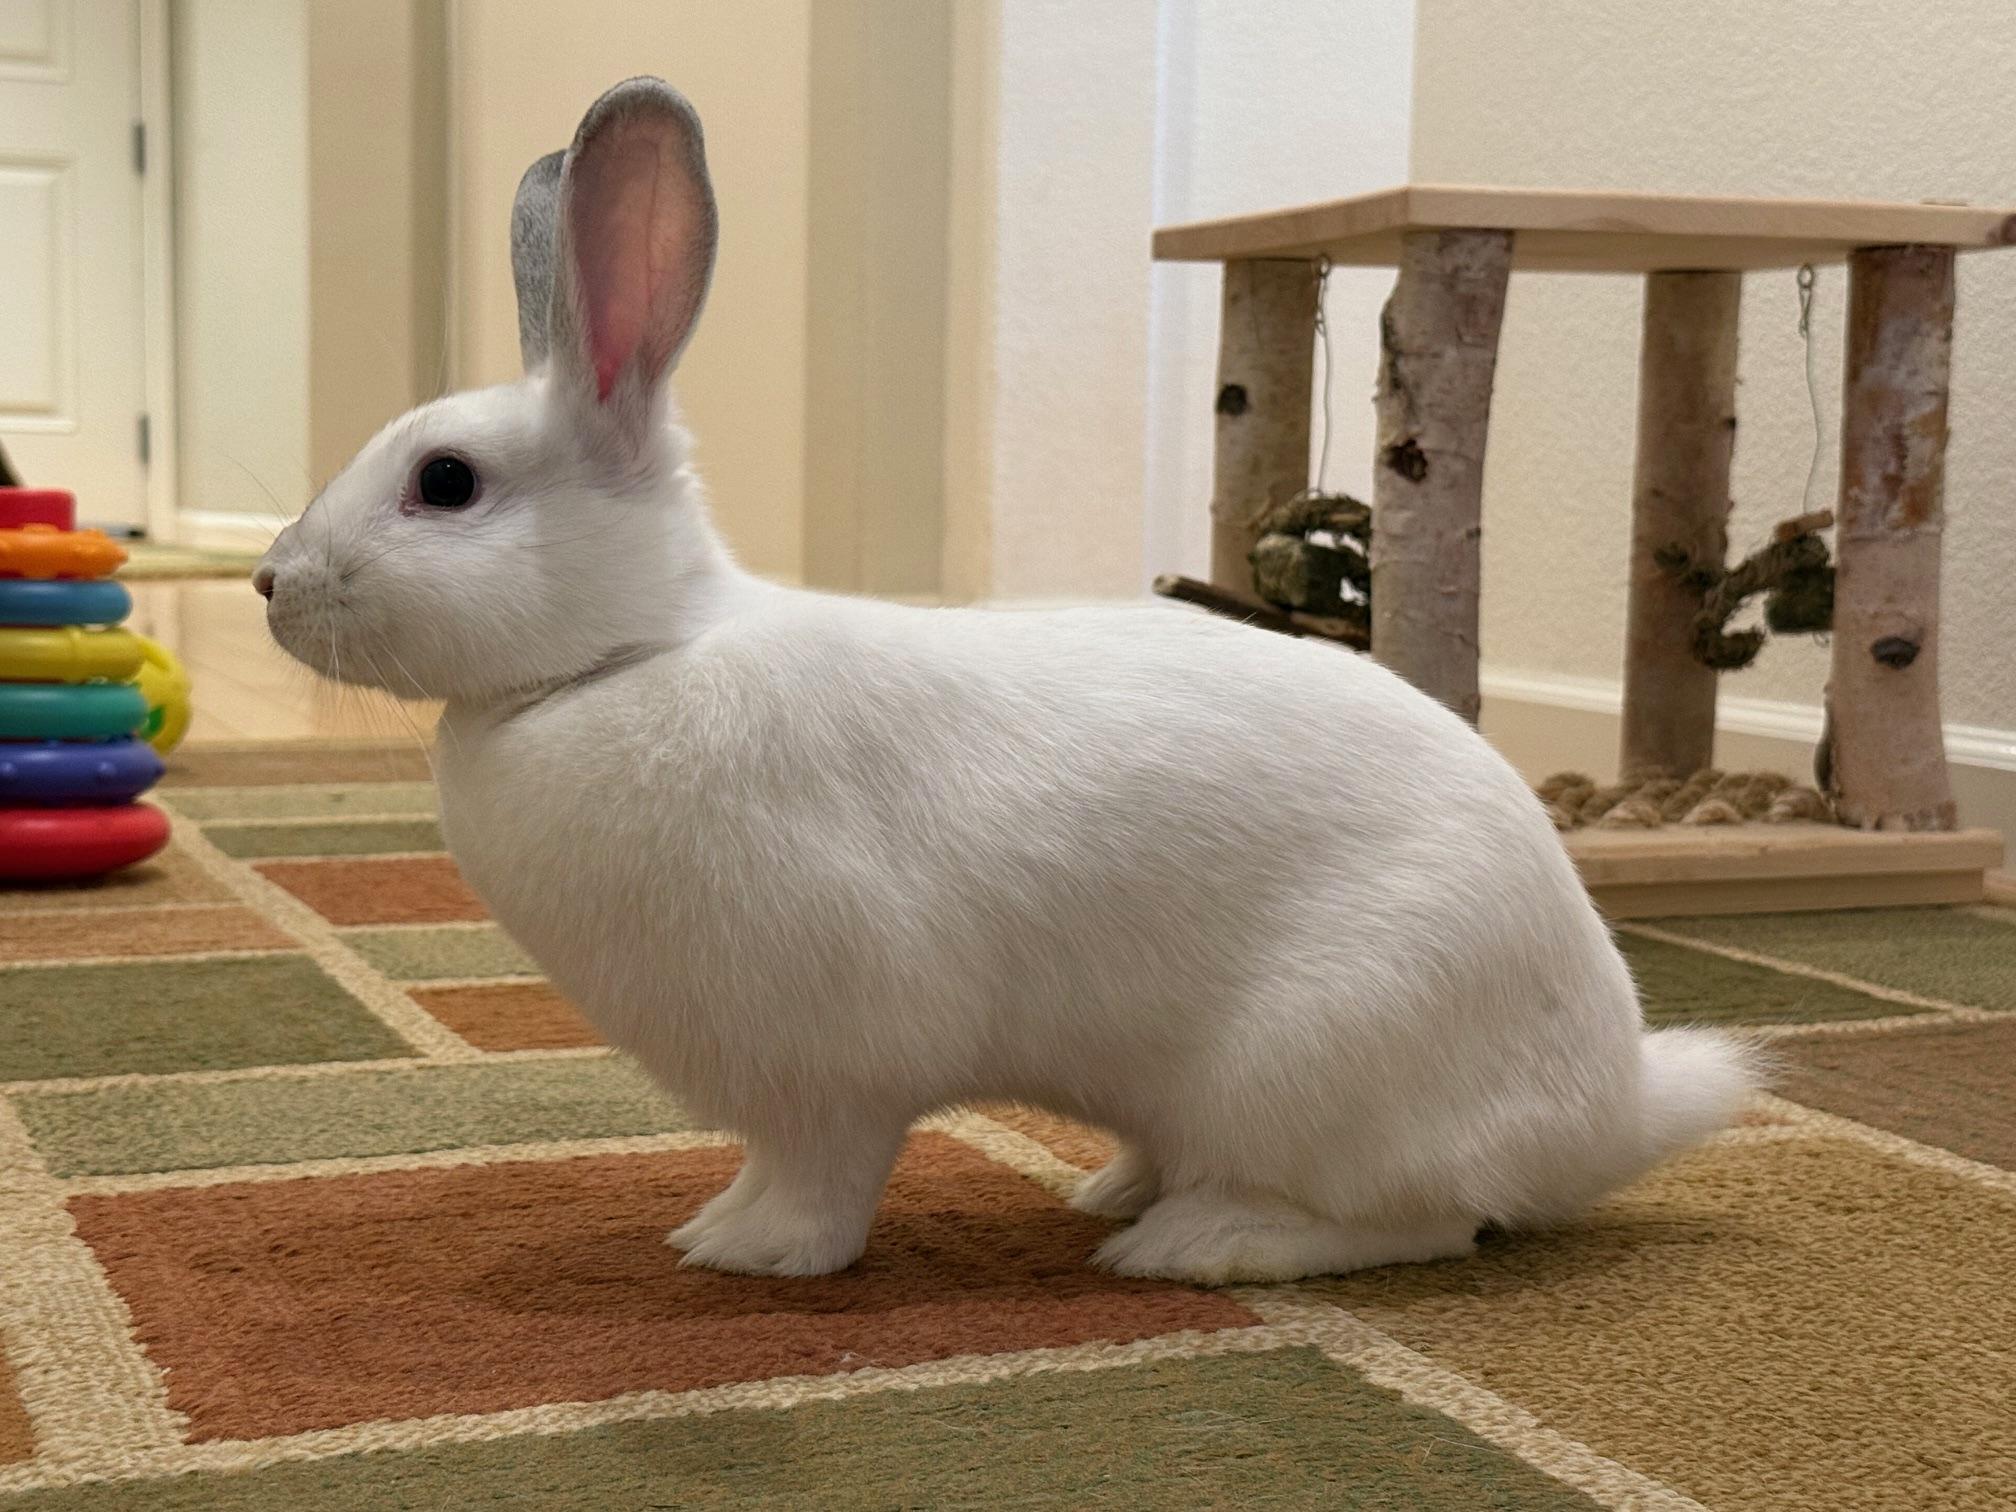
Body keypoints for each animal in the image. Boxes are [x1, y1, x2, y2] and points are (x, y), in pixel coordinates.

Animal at [255, 77, 1759, 1283]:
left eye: (447, 484)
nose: (271, 581)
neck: (634, 650)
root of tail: (1613, 1105)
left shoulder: (830, 1068)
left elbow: (820, 1173)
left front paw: (749, 1255)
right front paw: (713, 1227)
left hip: (1327, 1060)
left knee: (1422, 1219)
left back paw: (1194, 1244)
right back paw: (1119, 1188)